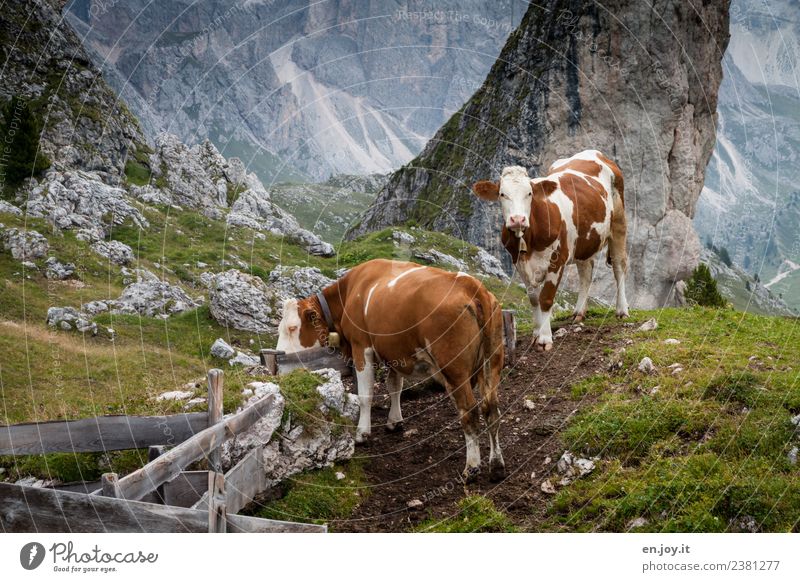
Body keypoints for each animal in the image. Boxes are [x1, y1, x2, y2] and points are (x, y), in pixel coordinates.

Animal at [276, 260, 506, 484]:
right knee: (491, 409)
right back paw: (496, 465)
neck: (350, 292)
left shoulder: (362, 347)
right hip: (493, 361)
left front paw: (362, 433)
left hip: (455, 370)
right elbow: (395, 386)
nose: (279, 357)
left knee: (470, 411)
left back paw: (471, 468)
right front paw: (395, 421)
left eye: (292, 327)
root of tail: (473, 286)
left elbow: (366, 395)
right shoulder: (394, 351)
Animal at [472, 149, 628, 352]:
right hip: (584, 240)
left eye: (529, 193)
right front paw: (536, 334)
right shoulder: (519, 263)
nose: (517, 219)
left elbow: (546, 298)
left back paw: (622, 310)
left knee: (619, 266)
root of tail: (594, 152)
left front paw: (545, 339)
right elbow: (534, 298)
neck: (530, 240)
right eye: (502, 194)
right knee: (586, 272)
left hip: (618, 223)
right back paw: (579, 312)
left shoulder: (557, 260)